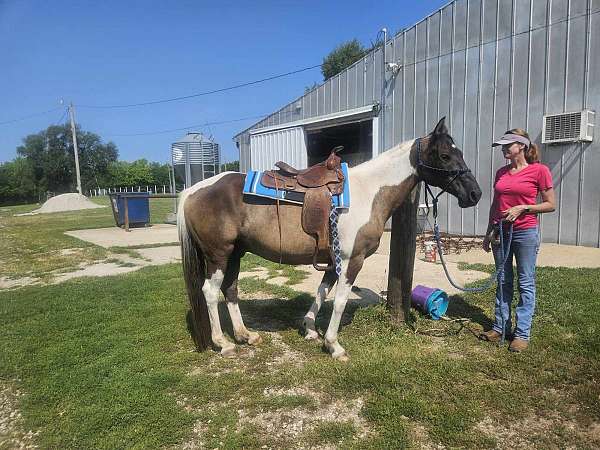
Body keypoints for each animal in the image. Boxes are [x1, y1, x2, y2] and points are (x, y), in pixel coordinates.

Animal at [176, 118, 480, 360]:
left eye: (460, 153)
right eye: (444, 155)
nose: (475, 194)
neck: (369, 192)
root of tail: (192, 190)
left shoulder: (333, 260)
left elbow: (322, 293)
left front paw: (310, 328)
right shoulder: (351, 259)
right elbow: (341, 300)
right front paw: (334, 345)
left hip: (235, 254)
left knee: (230, 290)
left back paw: (244, 335)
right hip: (219, 254)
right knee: (210, 292)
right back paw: (223, 343)